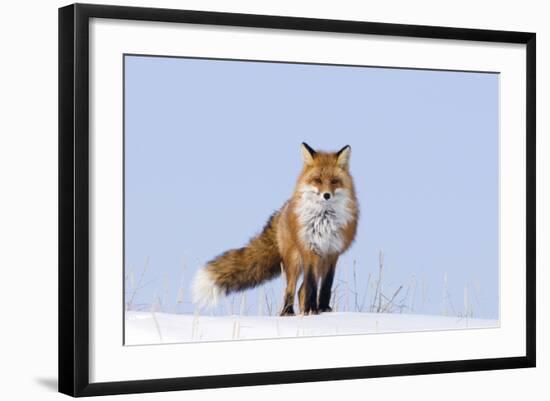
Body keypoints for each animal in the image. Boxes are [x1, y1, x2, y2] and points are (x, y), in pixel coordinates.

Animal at [192, 144, 360, 316]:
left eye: (334, 181)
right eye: (318, 180)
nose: (326, 195)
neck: (323, 220)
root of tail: (283, 209)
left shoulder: (332, 252)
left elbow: (326, 286)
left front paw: (323, 310)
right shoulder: (309, 250)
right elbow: (311, 285)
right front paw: (311, 310)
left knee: (300, 290)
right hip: (294, 260)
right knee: (291, 289)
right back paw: (288, 312)